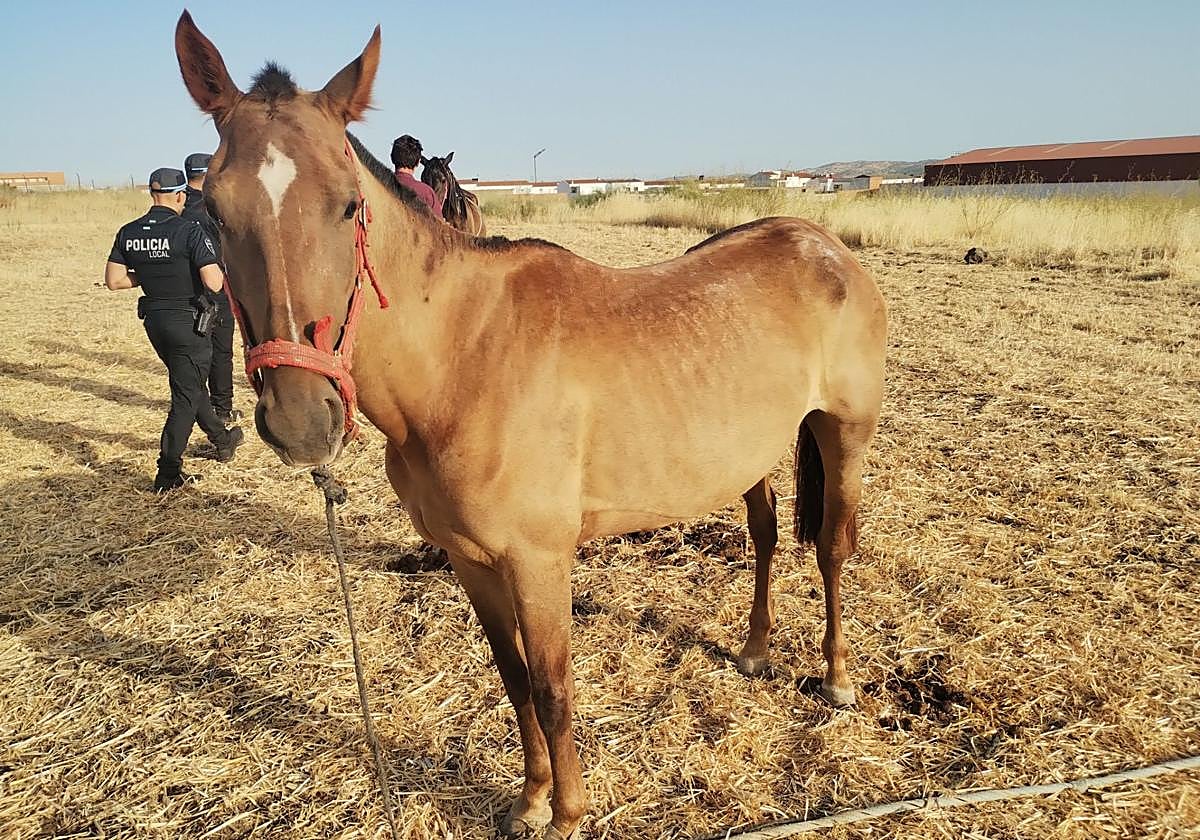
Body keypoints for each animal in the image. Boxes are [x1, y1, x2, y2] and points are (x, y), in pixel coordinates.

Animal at [175, 12, 887, 839]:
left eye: (348, 205)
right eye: (213, 211)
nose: (299, 419)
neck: (464, 358)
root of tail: (825, 245)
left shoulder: (539, 561)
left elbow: (551, 687)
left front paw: (569, 811)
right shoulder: (471, 560)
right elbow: (514, 681)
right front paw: (530, 799)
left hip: (844, 433)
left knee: (833, 548)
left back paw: (836, 678)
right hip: (749, 453)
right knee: (766, 537)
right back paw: (753, 649)